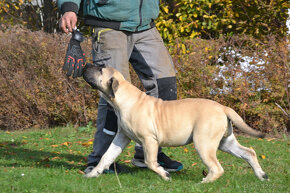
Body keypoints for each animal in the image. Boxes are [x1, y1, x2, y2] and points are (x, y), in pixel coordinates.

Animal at [81, 63, 268, 184]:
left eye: (100, 70)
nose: (85, 65)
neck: (123, 98)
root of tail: (223, 108)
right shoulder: (122, 137)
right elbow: (107, 156)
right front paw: (94, 174)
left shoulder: (149, 140)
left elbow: (150, 162)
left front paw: (164, 175)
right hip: (224, 141)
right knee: (249, 153)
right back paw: (261, 175)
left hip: (203, 142)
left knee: (217, 167)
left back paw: (204, 182)